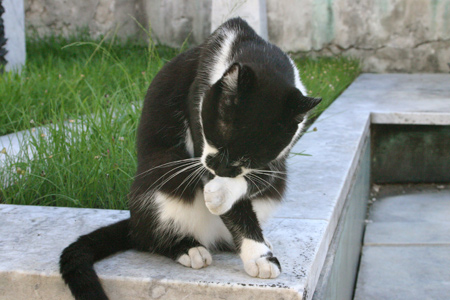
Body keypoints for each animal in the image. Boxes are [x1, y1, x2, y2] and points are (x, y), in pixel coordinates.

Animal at [59, 18, 320, 300]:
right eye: (215, 137)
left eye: (248, 159)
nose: (219, 169)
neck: (256, 50)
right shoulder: (197, 103)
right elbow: (236, 208)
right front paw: (259, 256)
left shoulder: (276, 159)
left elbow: (260, 179)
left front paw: (222, 196)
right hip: (156, 177)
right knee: (147, 237)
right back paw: (186, 247)